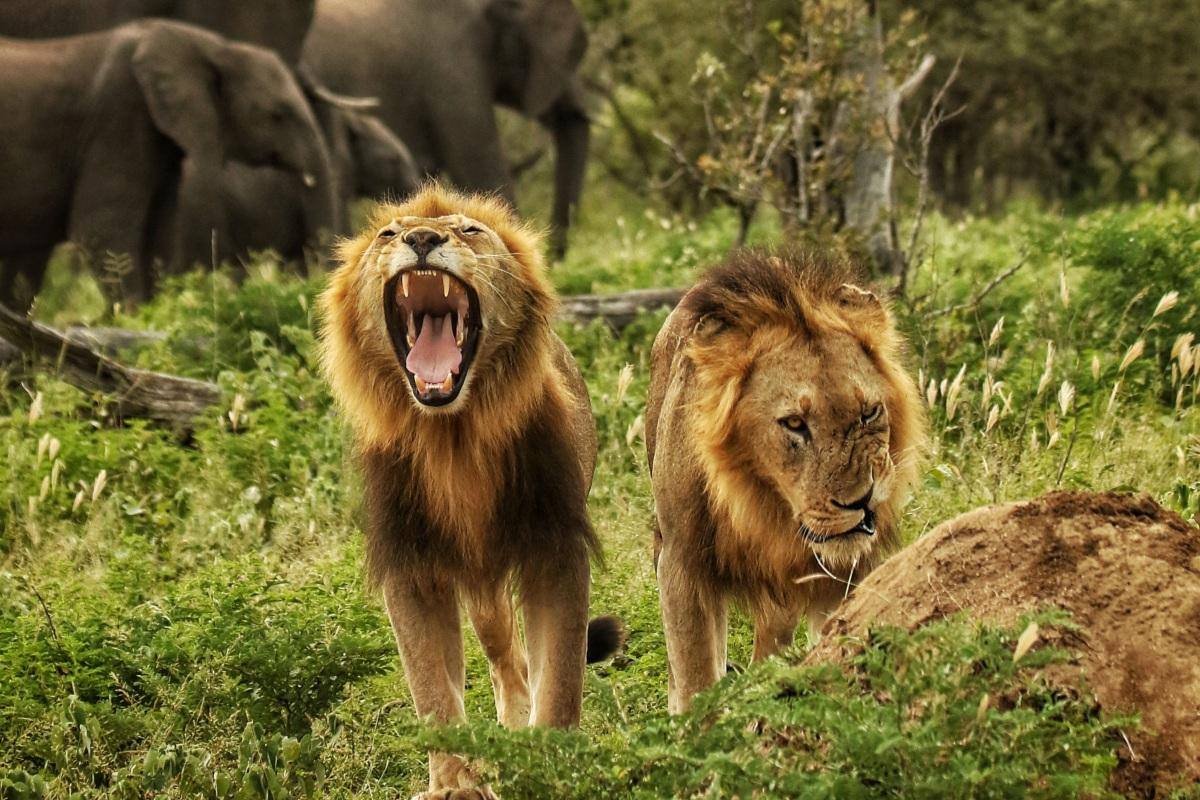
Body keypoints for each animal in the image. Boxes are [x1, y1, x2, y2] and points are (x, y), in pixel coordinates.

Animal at [318, 184, 621, 798]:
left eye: (469, 231)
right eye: (388, 234)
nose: (421, 238)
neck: (452, 437)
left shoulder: (554, 547)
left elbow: (561, 677)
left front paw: (550, 769)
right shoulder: (412, 564)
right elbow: (433, 689)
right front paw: (454, 784)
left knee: (520, 664)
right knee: (504, 659)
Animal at [645, 248, 926, 713]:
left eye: (868, 412)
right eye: (794, 423)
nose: (862, 501)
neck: (761, 504)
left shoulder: (848, 573)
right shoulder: (681, 561)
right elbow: (695, 677)